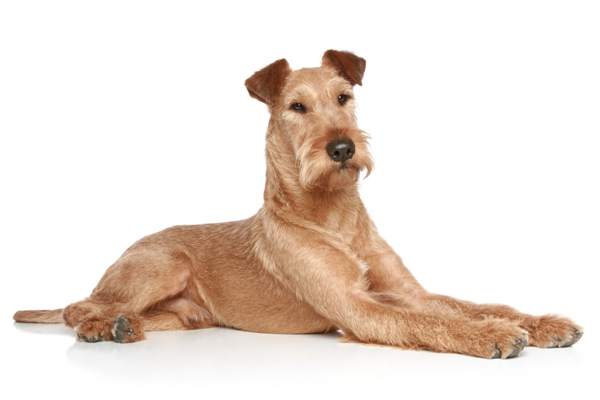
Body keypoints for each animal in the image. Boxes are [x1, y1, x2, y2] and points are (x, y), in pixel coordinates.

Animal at [14, 50, 584, 360]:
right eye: (296, 107)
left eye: (343, 97)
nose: (342, 148)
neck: (333, 216)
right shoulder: (355, 308)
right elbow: (432, 324)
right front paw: (492, 337)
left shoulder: (405, 291)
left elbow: (474, 304)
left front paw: (542, 323)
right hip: (163, 265)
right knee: (78, 304)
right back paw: (99, 326)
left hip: (184, 315)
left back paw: (123, 325)